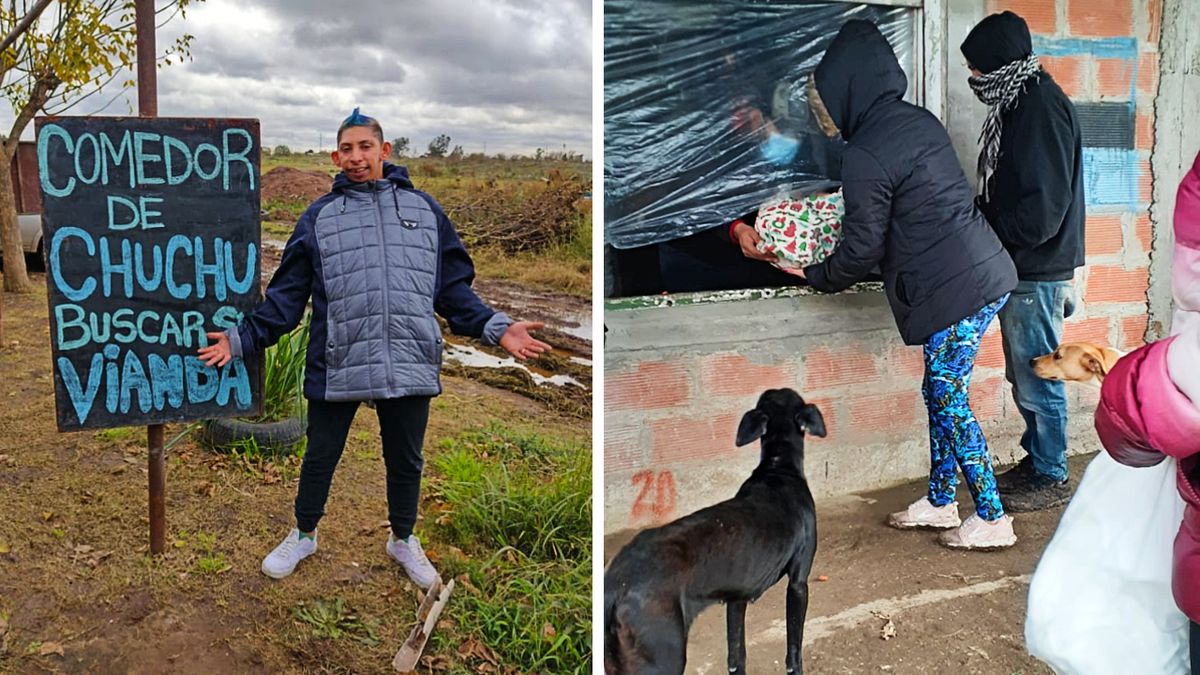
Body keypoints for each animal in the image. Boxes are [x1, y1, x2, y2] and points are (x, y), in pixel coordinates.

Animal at [604, 386, 820, 667]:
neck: (777, 466)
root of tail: (617, 583)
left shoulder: (736, 599)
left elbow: (736, 656)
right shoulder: (798, 584)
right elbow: (794, 651)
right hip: (663, 654)